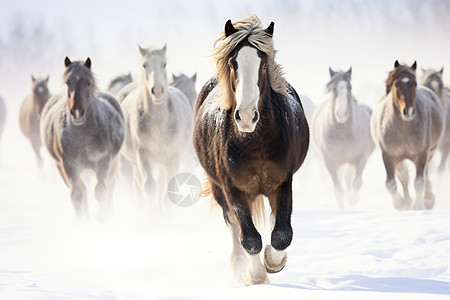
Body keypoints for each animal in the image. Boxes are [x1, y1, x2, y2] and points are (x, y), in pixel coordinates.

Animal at [40, 58, 125, 218]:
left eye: (88, 82)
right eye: (68, 82)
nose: (78, 112)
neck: (82, 135)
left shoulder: (103, 161)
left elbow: (100, 190)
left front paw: (102, 215)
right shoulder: (69, 165)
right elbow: (77, 195)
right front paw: (83, 220)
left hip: (113, 163)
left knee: (110, 185)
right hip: (62, 168)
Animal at [118, 44, 192, 214]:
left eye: (164, 64)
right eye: (144, 65)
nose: (157, 91)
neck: (159, 123)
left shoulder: (172, 157)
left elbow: (168, 190)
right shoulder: (143, 156)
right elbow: (149, 186)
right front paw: (152, 216)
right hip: (136, 162)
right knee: (139, 183)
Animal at [192, 14, 312, 286]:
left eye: (264, 66)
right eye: (233, 63)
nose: (246, 117)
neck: (254, 144)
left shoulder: (282, 183)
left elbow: (281, 233)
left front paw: (274, 263)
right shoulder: (233, 189)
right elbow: (249, 238)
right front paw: (255, 276)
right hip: (219, 190)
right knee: (235, 228)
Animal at [312, 67, 374, 207]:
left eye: (349, 87)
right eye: (333, 88)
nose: (341, 114)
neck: (342, 135)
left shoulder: (361, 157)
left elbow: (356, 183)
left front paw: (353, 200)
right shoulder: (329, 162)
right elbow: (338, 190)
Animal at [370, 60, 444, 211]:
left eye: (414, 83)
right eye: (396, 84)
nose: (408, 111)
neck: (403, 129)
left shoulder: (421, 155)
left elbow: (420, 182)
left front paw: (419, 206)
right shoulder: (388, 156)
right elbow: (391, 184)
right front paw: (401, 204)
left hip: (430, 152)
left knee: (426, 174)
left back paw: (428, 198)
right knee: (404, 177)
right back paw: (408, 200)